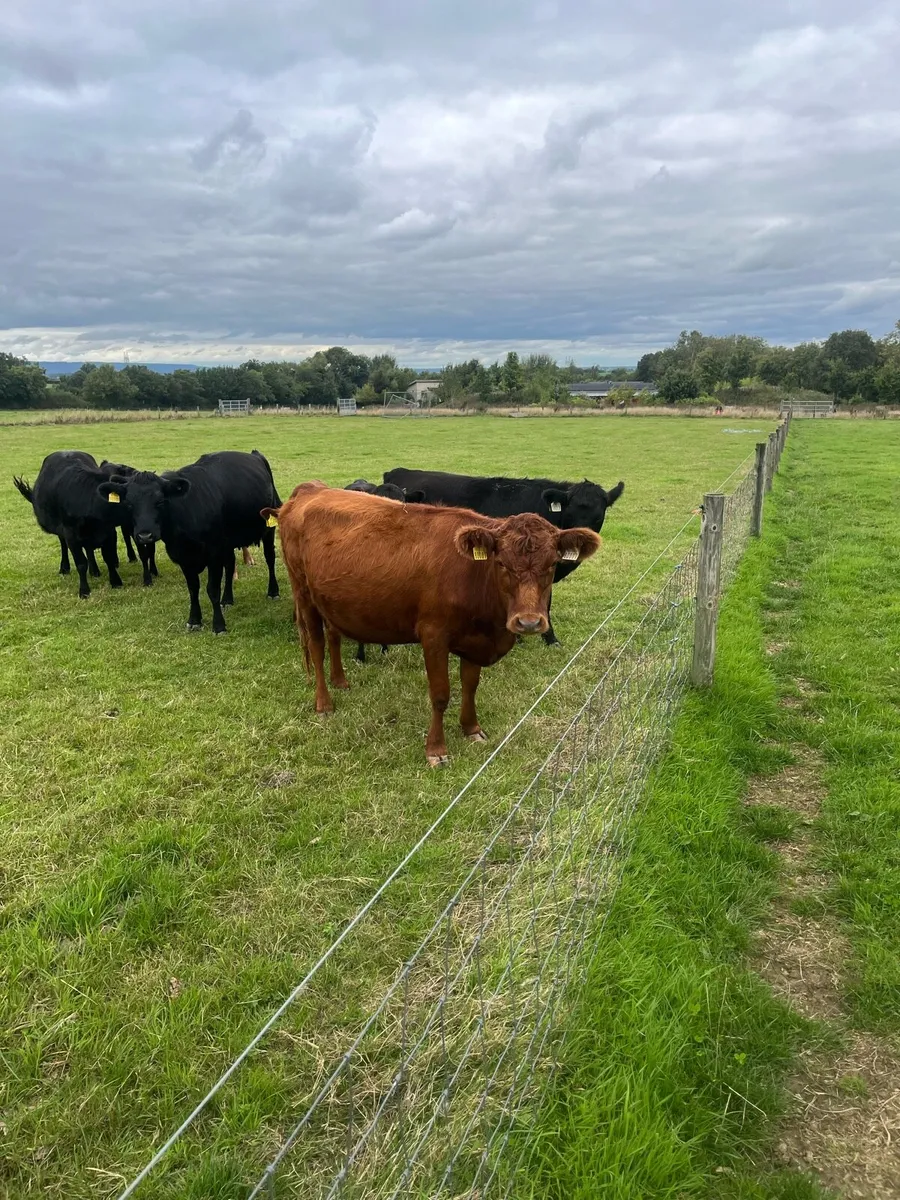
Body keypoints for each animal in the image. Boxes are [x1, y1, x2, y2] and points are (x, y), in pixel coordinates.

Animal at [13, 450, 135, 597]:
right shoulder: (71, 534)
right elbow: (81, 563)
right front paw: (84, 591)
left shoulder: (109, 532)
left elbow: (109, 557)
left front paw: (116, 582)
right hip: (63, 532)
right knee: (64, 545)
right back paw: (65, 568)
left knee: (89, 550)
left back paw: (94, 571)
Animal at [97, 449, 281, 634]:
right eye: (129, 504)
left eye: (160, 501)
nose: (144, 536)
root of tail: (255, 455)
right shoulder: (184, 557)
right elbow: (193, 588)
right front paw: (194, 620)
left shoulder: (214, 554)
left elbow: (212, 589)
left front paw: (218, 625)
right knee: (230, 565)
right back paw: (227, 599)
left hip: (268, 529)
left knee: (270, 558)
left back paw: (273, 591)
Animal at [266, 483, 600, 766]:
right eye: (501, 563)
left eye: (552, 564)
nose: (528, 622)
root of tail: (310, 489)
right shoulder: (433, 636)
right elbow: (440, 695)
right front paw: (436, 749)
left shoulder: (474, 639)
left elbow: (470, 686)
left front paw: (471, 728)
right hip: (303, 593)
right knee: (317, 645)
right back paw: (324, 704)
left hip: (330, 599)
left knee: (334, 635)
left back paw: (340, 681)